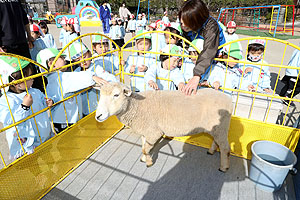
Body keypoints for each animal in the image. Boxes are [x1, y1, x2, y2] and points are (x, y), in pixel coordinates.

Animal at [95, 82, 233, 172]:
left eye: (116, 95)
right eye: (100, 95)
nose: (98, 116)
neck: (136, 106)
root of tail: (229, 99)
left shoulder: (154, 132)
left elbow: (145, 149)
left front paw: (149, 163)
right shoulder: (145, 131)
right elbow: (143, 146)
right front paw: (144, 159)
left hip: (221, 127)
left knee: (225, 148)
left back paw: (224, 167)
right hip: (216, 128)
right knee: (217, 141)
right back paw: (211, 151)